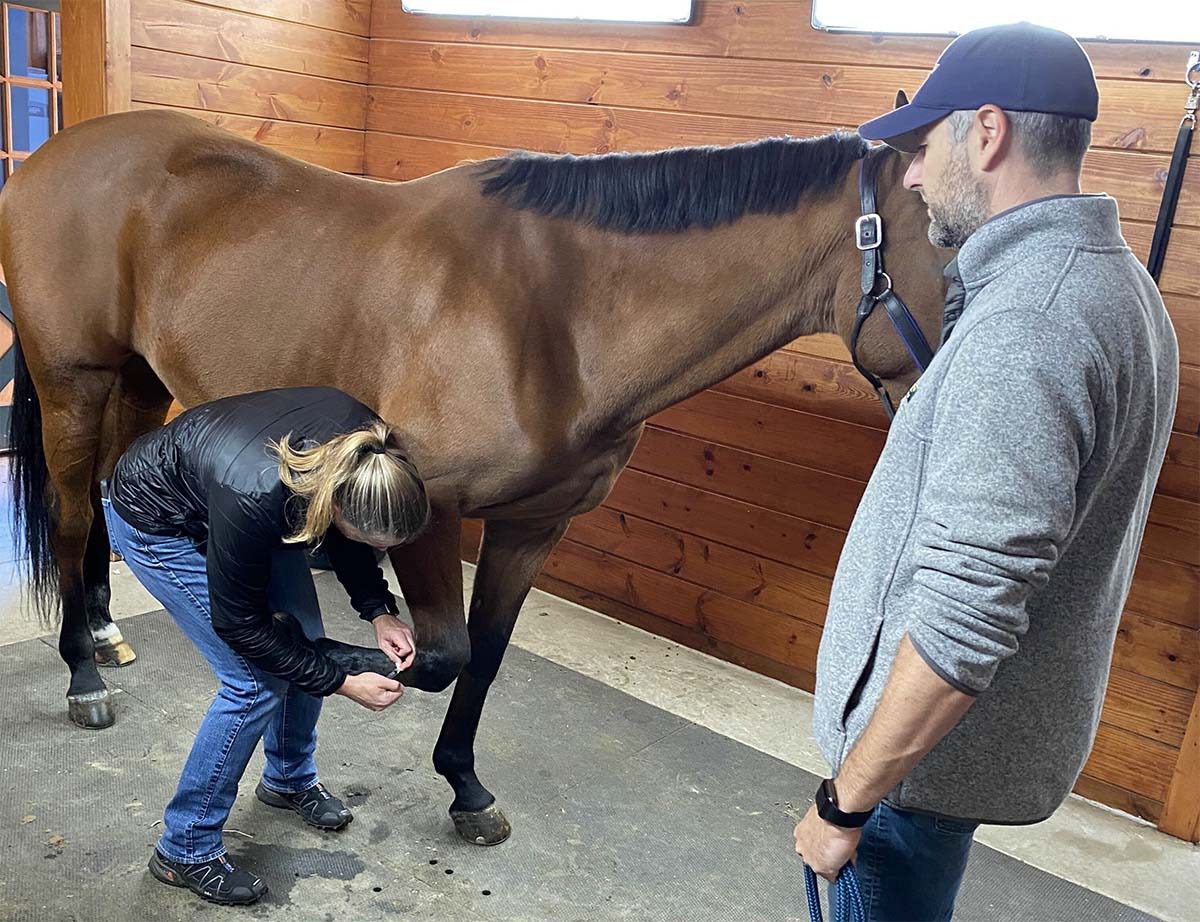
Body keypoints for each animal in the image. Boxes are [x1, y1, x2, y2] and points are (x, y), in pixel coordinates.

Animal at [0, 104, 947, 846]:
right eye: (949, 239)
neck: (556, 310)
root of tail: (47, 162)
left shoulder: (534, 525)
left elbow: (483, 656)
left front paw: (464, 785)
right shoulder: (428, 508)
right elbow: (438, 654)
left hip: (139, 381)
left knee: (108, 494)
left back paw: (107, 634)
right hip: (74, 381)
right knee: (76, 513)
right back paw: (83, 673)